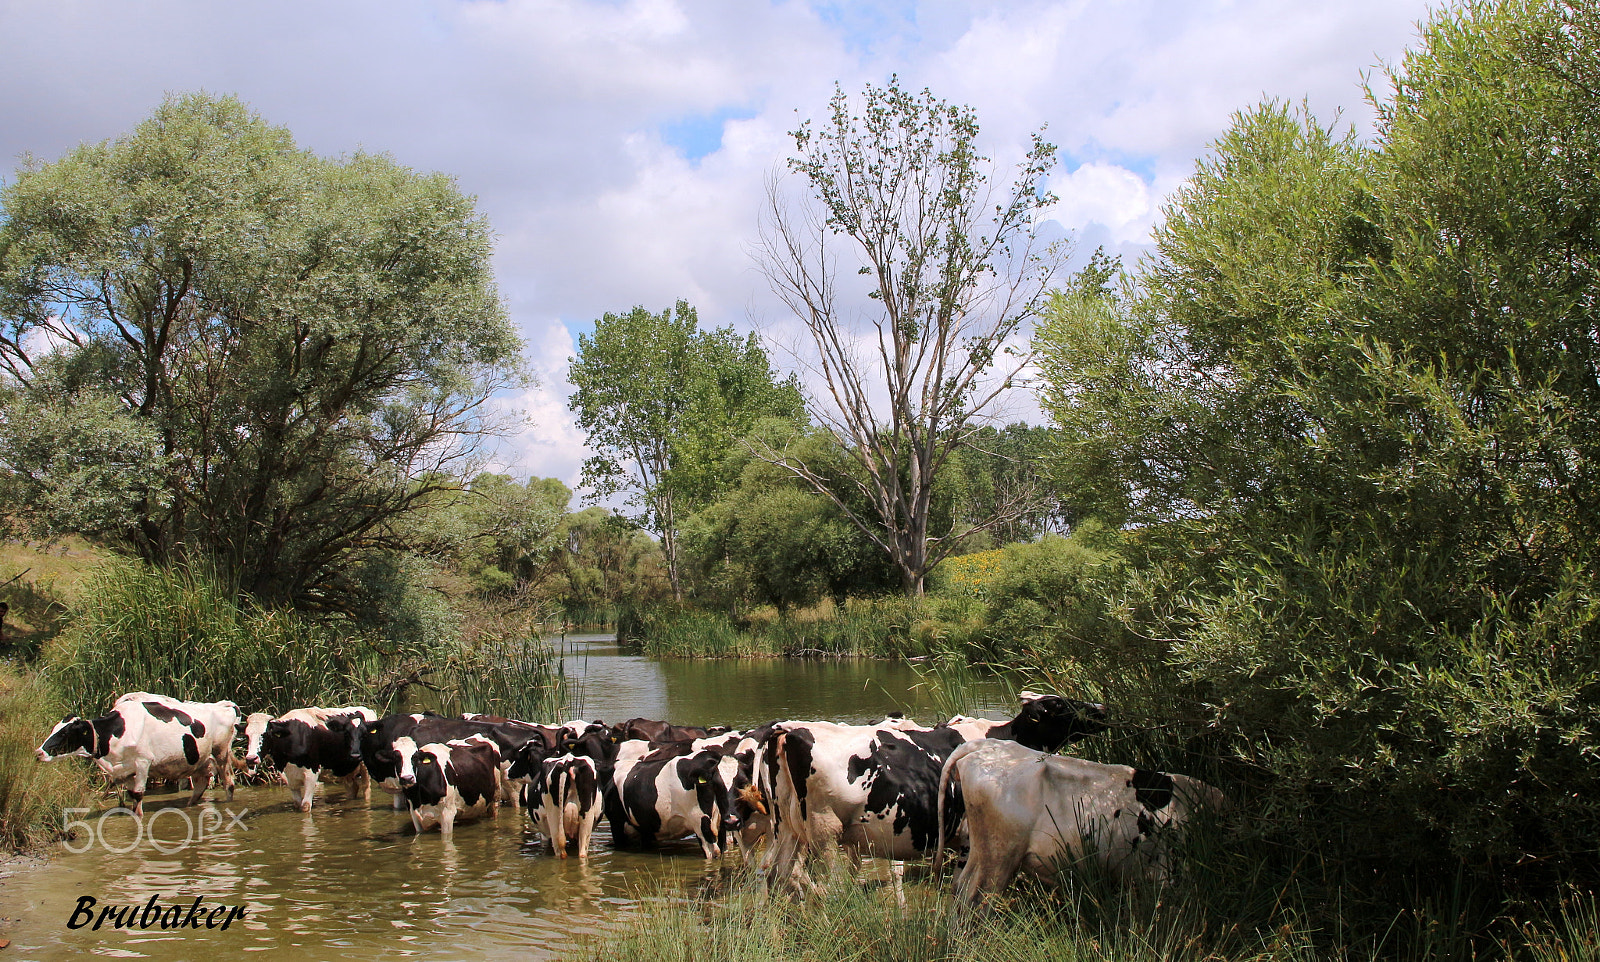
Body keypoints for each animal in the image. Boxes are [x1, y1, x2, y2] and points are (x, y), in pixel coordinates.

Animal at [37, 693, 241, 816]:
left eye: (65, 733)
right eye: (54, 729)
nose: (38, 753)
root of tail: (224, 705)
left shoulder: (143, 762)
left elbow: (138, 795)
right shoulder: (125, 770)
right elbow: (131, 795)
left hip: (221, 754)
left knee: (229, 784)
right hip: (199, 762)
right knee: (200, 786)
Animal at [242, 706, 376, 811]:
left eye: (265, 734)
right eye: (247, 735)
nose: (251, 758)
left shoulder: (311, 775)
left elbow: (305, 806)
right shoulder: (289, 778)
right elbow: (297, 804)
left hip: (365, 766)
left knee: (366, 789)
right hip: (345, 768)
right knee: (352, 788)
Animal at [933, 739, 1223, 906]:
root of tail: (987, 745)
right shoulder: (1169, 875)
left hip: (979, 851)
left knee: (959, 890)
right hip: (998, 856)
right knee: (974, 898)